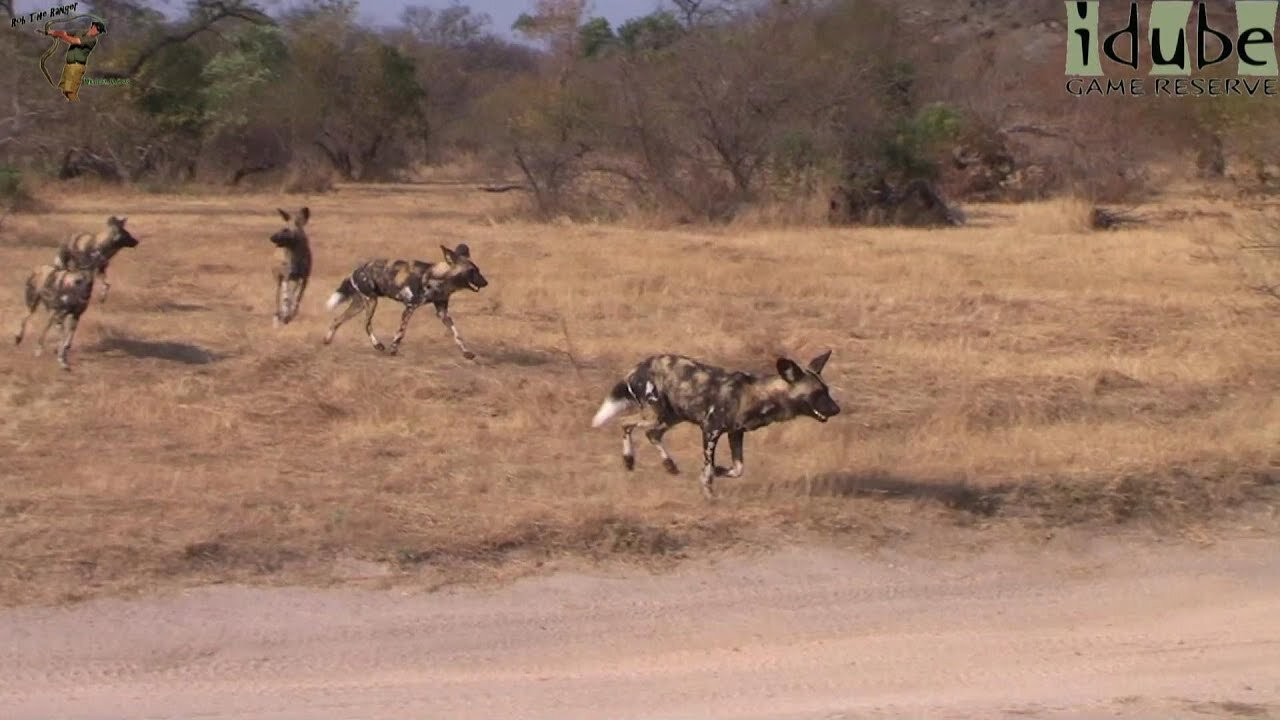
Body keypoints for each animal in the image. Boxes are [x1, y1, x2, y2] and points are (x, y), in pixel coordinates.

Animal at [325, 243, 488, 358]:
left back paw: (327, 340)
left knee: (337, 320)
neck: (438, 280)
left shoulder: (443, 312)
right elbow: (401, 332)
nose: (486, 282)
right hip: (371, 302)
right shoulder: (409, 307)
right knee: (366, 325)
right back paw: (378, 345)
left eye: (478, 270)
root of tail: (356, 270)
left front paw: (467, 353)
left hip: (359, 305)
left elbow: (457, 334)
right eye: (472, 271)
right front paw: (393, 349)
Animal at [593, 351, 844, 497]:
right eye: (818, 394)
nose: (837, 409)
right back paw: (629, 460)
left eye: (827, 391)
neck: (757, 394)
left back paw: (669, 465)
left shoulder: (736, 433)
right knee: (625, 423)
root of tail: (637, 367)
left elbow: (737, 469)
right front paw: (708, 490)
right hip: (657, 414)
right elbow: (708, 470)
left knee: (651, 434)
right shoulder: (710, 430)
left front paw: (718, 470)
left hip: (671, 416)